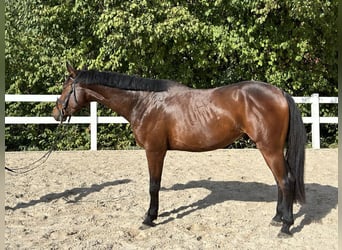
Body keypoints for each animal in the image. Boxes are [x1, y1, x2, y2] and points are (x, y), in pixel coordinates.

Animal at [52, 62, 306, 236]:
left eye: (66, 88)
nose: (56, 113)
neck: (145, 102)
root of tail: (280, 93)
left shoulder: (154, 151)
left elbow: (153, 186)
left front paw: (149, 218)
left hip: (270, 149)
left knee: (286, 181)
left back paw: (285, 226)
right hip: (271, 149)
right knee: (280, 182)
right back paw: (277, 218)